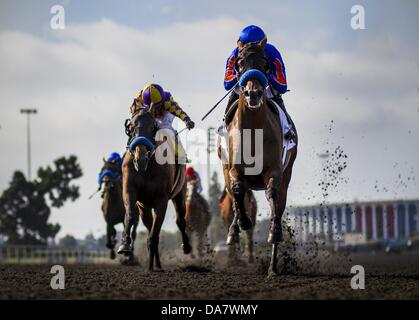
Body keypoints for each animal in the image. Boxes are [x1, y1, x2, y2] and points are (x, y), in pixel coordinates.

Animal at [116, 107, 192, 270]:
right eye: (131, 127)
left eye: (152, 127)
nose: (140, 158)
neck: (147, 167)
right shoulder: (130, 191)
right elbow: (130, 215)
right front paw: (124, 245)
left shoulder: (161, 199)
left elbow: (155, 232)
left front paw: (150, 267)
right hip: (145, 207)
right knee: (150, 225)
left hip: (180, 193)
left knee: (180, 220)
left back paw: (185, 248)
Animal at [220, 40, 298, 276]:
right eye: (239, 62)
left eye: (265, 62)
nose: (252, 94)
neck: (253, 129)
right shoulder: (234, 170)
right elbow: (237, 192)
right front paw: (241, 224)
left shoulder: (274, 172)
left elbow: (273, 197)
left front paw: (274, 232)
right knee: (234, 197)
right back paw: (233, 231)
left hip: (287, 174)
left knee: (278, 205)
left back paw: (272, 267)